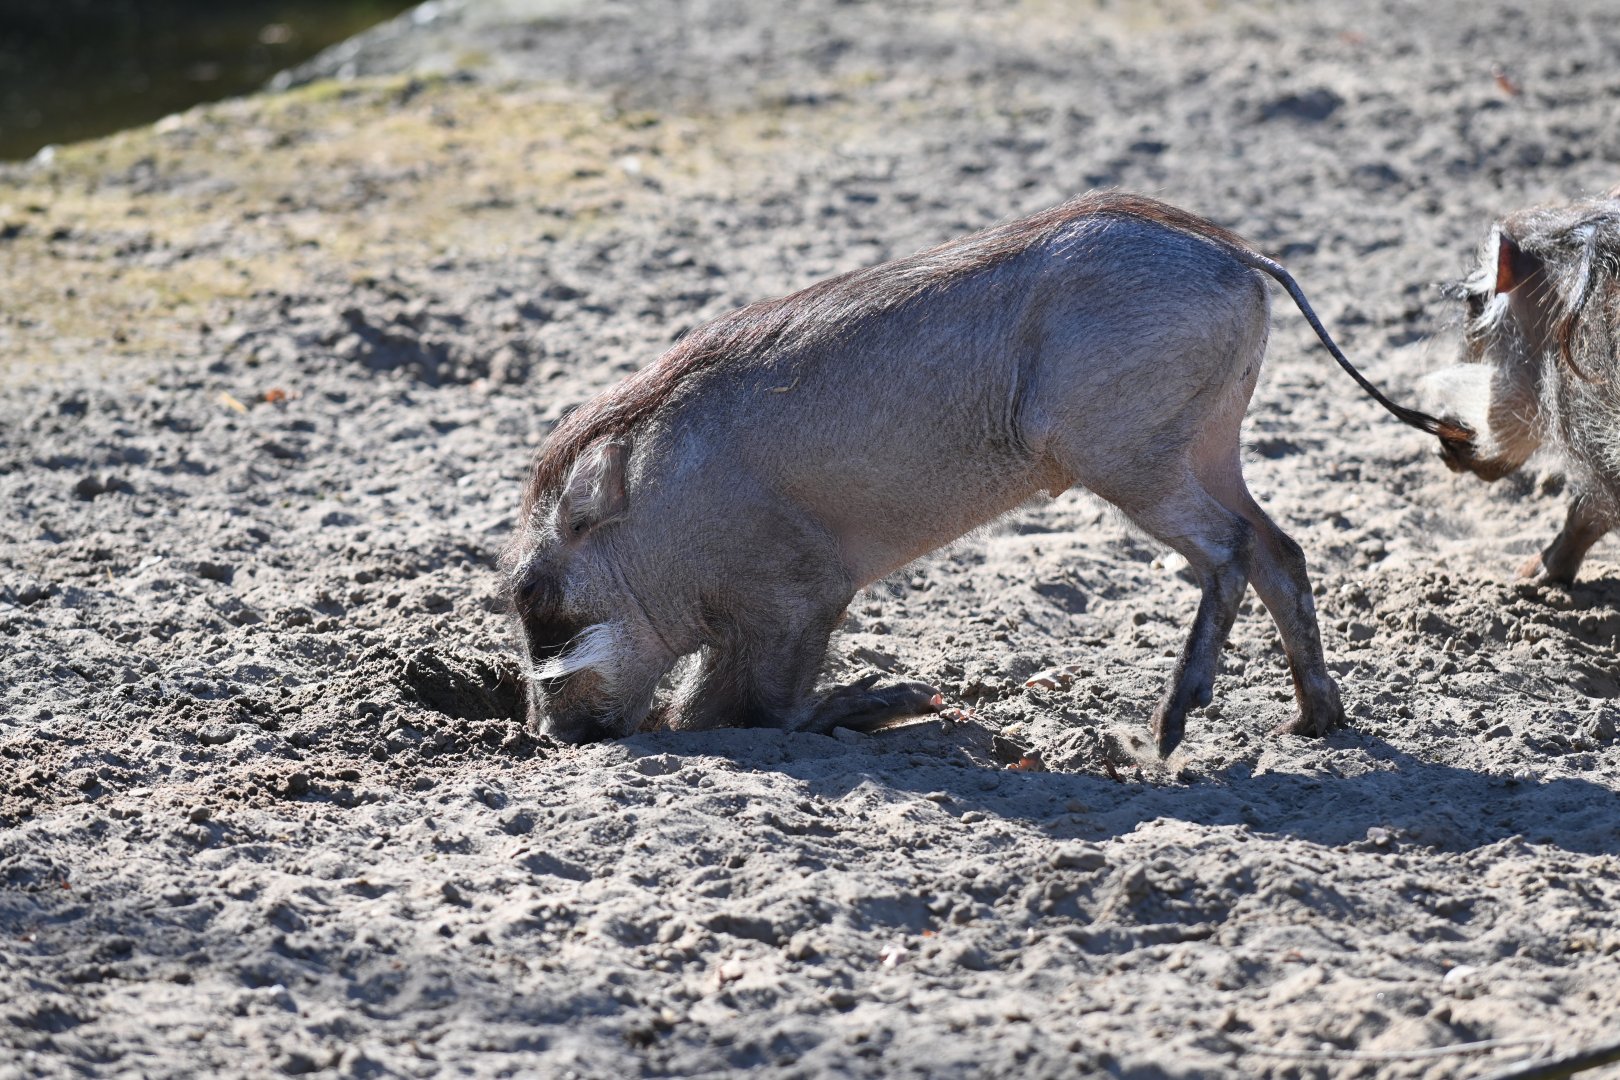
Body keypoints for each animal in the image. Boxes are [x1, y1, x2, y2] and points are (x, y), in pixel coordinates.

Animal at [503, 191, 1450, 756]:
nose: (548, 738)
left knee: (1227, 553)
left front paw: (886, 702)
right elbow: (722, 708)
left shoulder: (794, 599)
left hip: (1129, 457)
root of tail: (1232, 251)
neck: (659, 515)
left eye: (536, 595)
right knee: (1279, 551)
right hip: (1209, 442)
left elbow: (740, 712)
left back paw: (1172, 723)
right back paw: (1315, 721)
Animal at [1418, 187, 1620, 584]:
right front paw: (1533, 573)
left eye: (1474, 304)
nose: (1441, 445)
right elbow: (1585, 510)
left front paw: (1532, 575)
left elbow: (1585, 509)